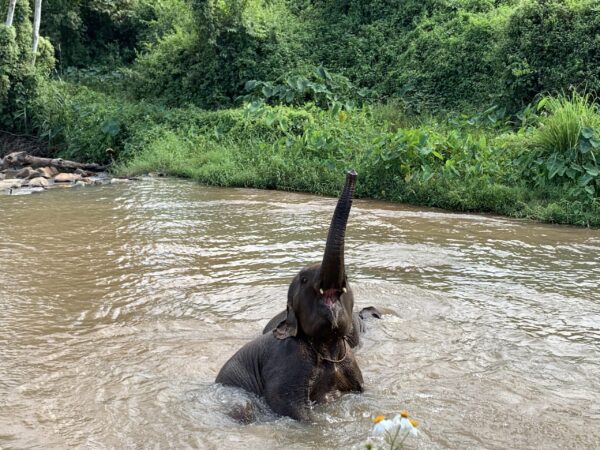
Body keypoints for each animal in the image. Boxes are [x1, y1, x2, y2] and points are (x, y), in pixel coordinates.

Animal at [216, 170, 378, 422]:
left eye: (348, 280)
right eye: (303, 279)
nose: (351, 172)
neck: (327, 346)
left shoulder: (351, 361)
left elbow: (364, 392)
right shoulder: (288, 361)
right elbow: (290, 407)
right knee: (242, 408)